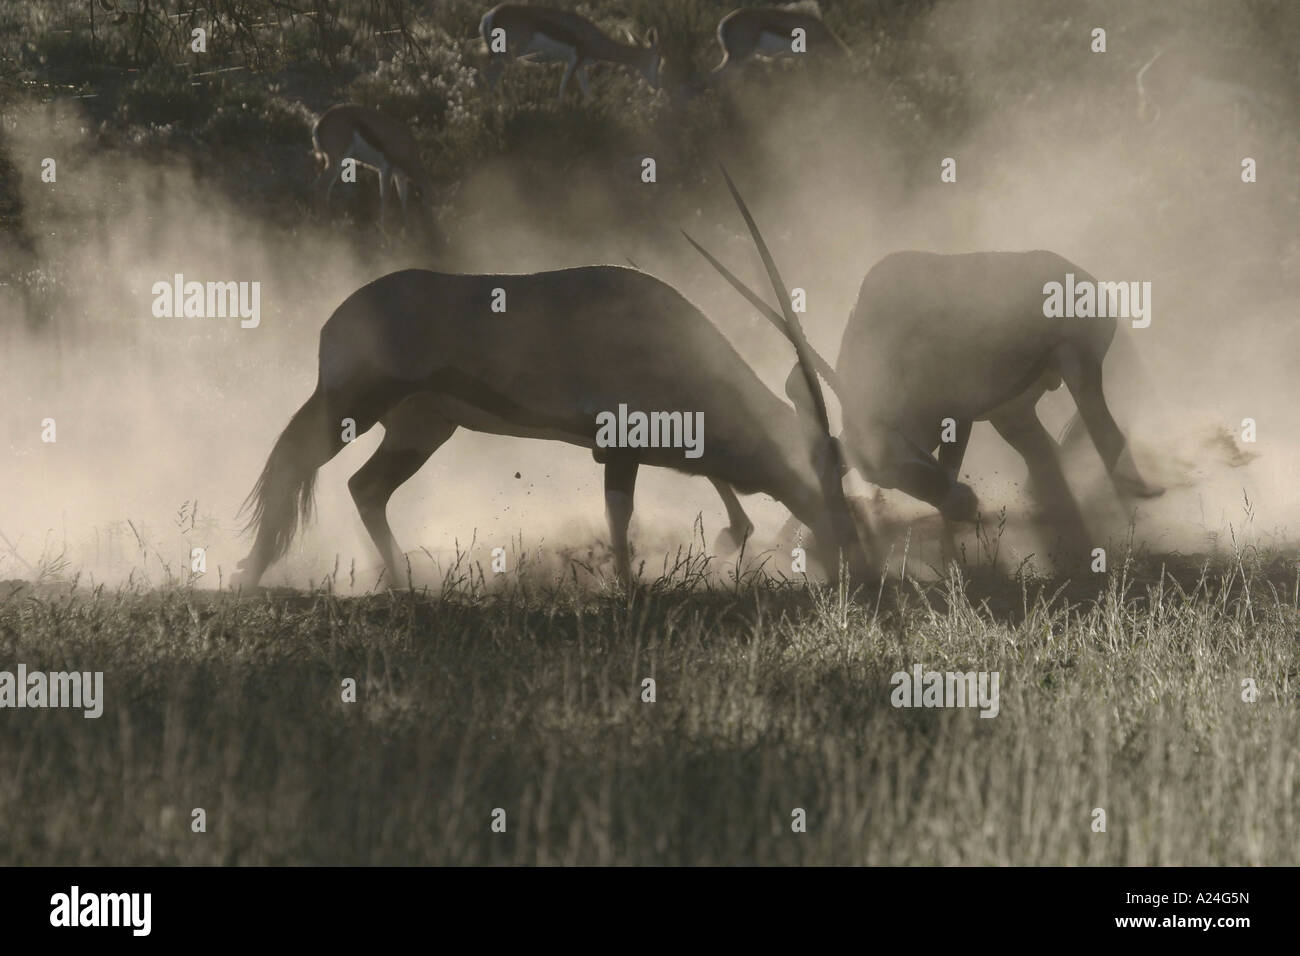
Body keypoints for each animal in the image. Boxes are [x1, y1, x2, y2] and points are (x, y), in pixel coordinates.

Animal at [478, 3, 660, 102]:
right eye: (658, 60)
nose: (656, 87)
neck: (594, 38)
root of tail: (489, 15)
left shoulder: (581, 66)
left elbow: (586, 92)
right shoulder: (575, 60)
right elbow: (562, 90)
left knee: (489, 77)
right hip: (507, 55)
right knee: (485, 75)